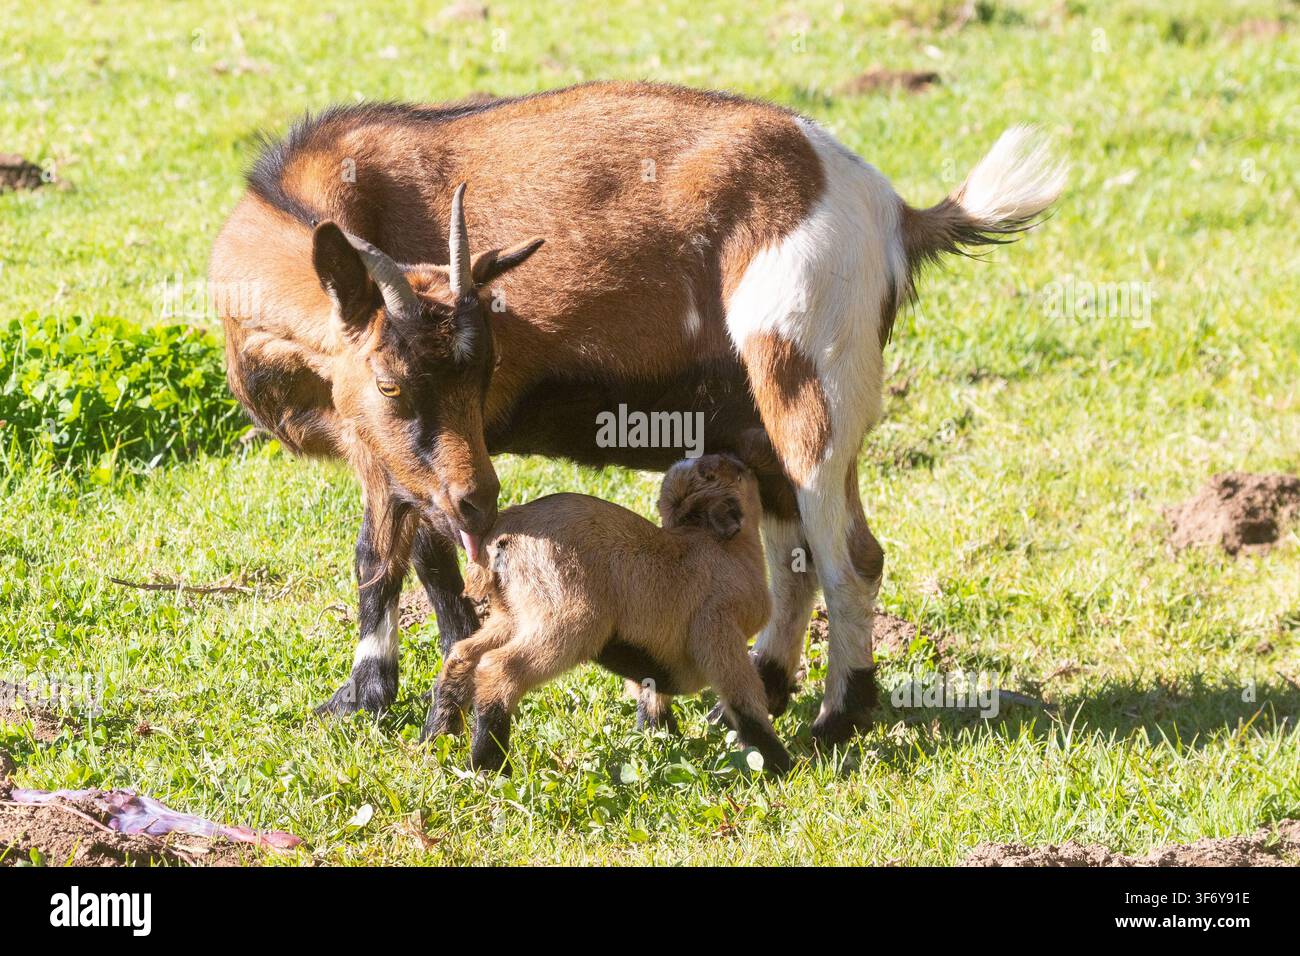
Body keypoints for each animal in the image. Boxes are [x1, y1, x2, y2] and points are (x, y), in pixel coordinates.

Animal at [209, 83, 1065, 742]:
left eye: (485, 371)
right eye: (393, 385)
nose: (483, 501)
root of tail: (888, 209)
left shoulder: (401, 455)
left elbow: (392, 556)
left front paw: (378, 699)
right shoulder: (389, 449)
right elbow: (413, 555)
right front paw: (394, 691)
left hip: (806, 373)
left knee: (849, 554)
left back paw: (836, 720)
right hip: (755, 418)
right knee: (794, 554)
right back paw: (762, 689)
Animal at [426, 452, 792, 775]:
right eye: (731, 473)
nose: (742, 461)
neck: (721, 547)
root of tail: (500, 536)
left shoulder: (653, 652)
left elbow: (650, 689)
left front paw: (660, 738)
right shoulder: (717, 626)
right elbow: (742, 696)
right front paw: (778, 763)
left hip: (513, 614)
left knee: (463, 654)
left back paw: (436, 738)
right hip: (572, 618)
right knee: (499, 668)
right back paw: (489, 766)